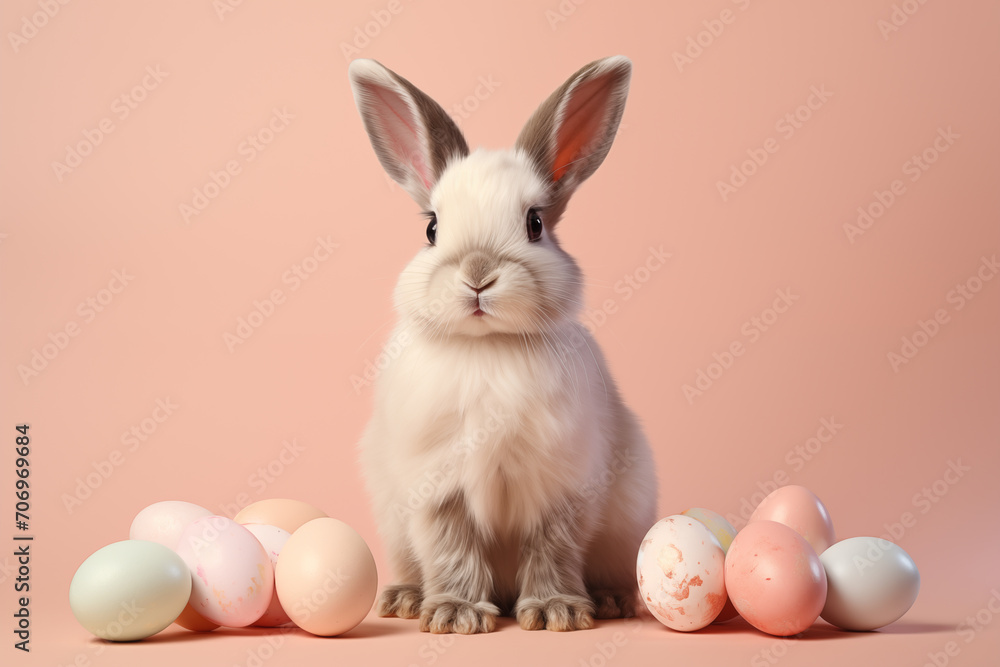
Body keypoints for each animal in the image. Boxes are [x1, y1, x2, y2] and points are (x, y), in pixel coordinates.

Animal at [349, 56, 657, 634]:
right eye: (432, 228)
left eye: (535, 223)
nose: (478, 274)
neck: (488, 346)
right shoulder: (438, 486)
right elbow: (451, 548)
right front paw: (455, 613)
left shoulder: (561, 484)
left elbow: (553, 547)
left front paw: (557, 611)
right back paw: (405, 600)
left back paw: (610, 600)